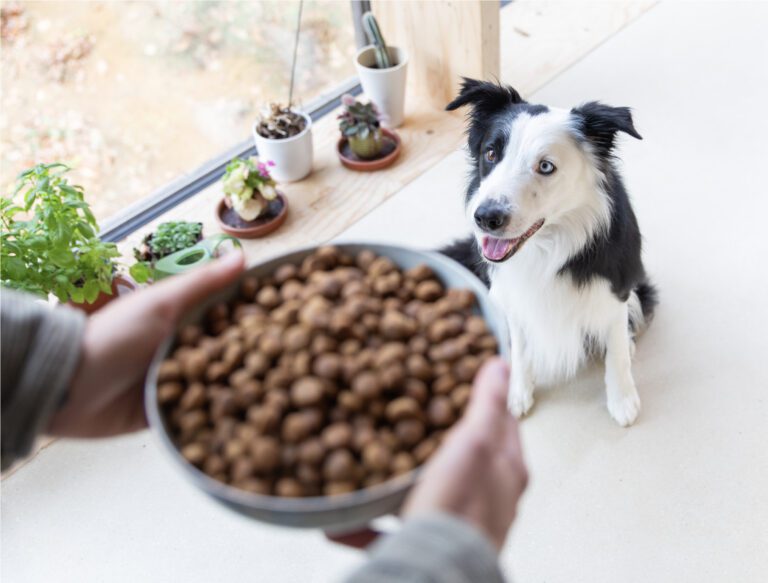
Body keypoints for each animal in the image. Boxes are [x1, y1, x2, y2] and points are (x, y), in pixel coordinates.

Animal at [440, 77, 656, 426]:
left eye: (545, 166)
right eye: (491, 153)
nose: (485, 218)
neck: (546, 247)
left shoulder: (616, 290)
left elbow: (617, 351)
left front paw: (622, 399)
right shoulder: (512, 297)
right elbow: (519, 349)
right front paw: (517, 393)